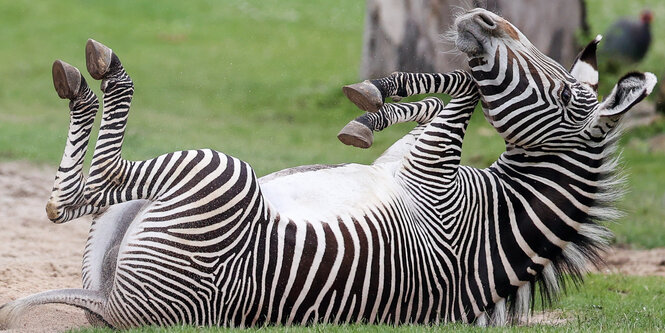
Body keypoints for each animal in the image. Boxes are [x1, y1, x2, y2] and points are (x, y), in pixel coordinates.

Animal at [0, 7, 652, 326]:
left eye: (566, 97)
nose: (484, 17)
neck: (499, 213)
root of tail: (117, 311)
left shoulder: (434, 176)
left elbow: (464, 93)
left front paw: (374, 104)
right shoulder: (413, 158)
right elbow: (456, 88)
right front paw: (375, 102)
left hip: (215, 172)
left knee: (77, 195)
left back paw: (94, 77)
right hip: (115, 241)